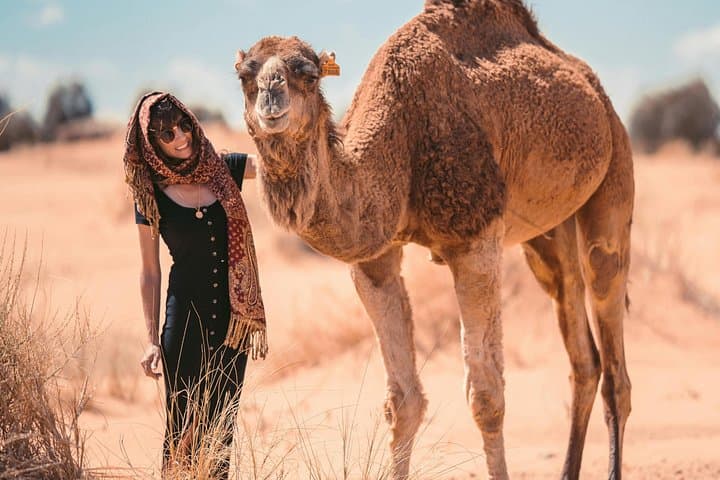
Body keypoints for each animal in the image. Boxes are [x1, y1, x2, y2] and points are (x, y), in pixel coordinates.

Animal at [233, 0, 633, 478]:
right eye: (244, 75)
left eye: (308, 74)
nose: (271, 100)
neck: (399, 142)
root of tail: (595, 90)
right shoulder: (375, 260)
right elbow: (403, 401)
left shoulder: (476, 240)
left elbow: (486, 397)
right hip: (549, 235)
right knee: (582, 353)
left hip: (614, 177)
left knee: (612, 343)